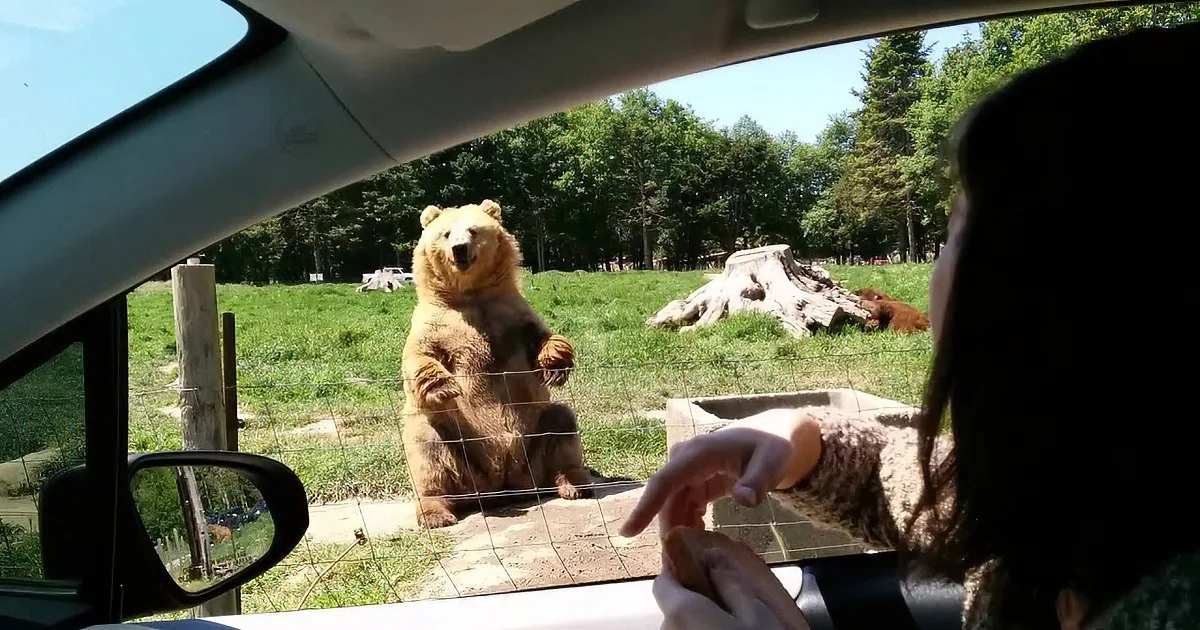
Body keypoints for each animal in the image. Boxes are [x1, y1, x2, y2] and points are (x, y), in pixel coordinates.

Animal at [400, 199, 592, 529]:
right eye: (446, 233)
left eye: (473, 230)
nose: (460, 249)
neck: (470, 294)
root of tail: (501, 486)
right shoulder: (435, 325)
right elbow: (418, 360)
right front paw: (443, 387)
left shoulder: (513, 316)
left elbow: (542, 338)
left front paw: (555, 364)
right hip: (461, 453)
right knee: (426, 446)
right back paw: (436, 513)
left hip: (534, 444)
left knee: (562, 423)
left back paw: (574, 483)